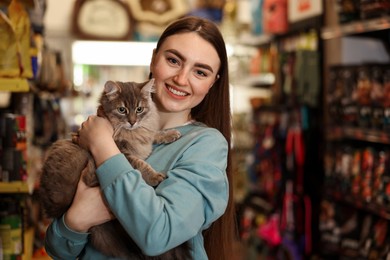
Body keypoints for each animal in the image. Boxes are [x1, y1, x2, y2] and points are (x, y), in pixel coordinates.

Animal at [40, 79, 192, 260]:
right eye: (122, 110)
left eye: (139, 109)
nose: (132, 122)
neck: (129, 132)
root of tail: (56, 208)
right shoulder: (124, 153)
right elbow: (141, 164)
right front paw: (155, 176)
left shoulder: (143, 134)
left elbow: (153, 133)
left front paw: (170, 134)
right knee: (90, 177)